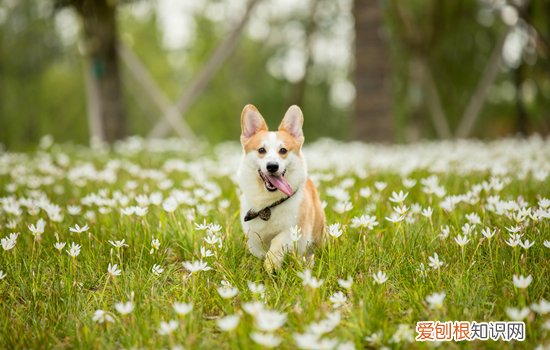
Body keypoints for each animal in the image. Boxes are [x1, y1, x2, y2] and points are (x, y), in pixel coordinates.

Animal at [238, 104, 326, 274]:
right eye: (261, 150)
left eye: (283, 150)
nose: (272, 166)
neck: (269, 204)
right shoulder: (252, 234)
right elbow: (258, 249)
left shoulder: (293, 229)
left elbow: (277, 242)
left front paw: (271, 264)